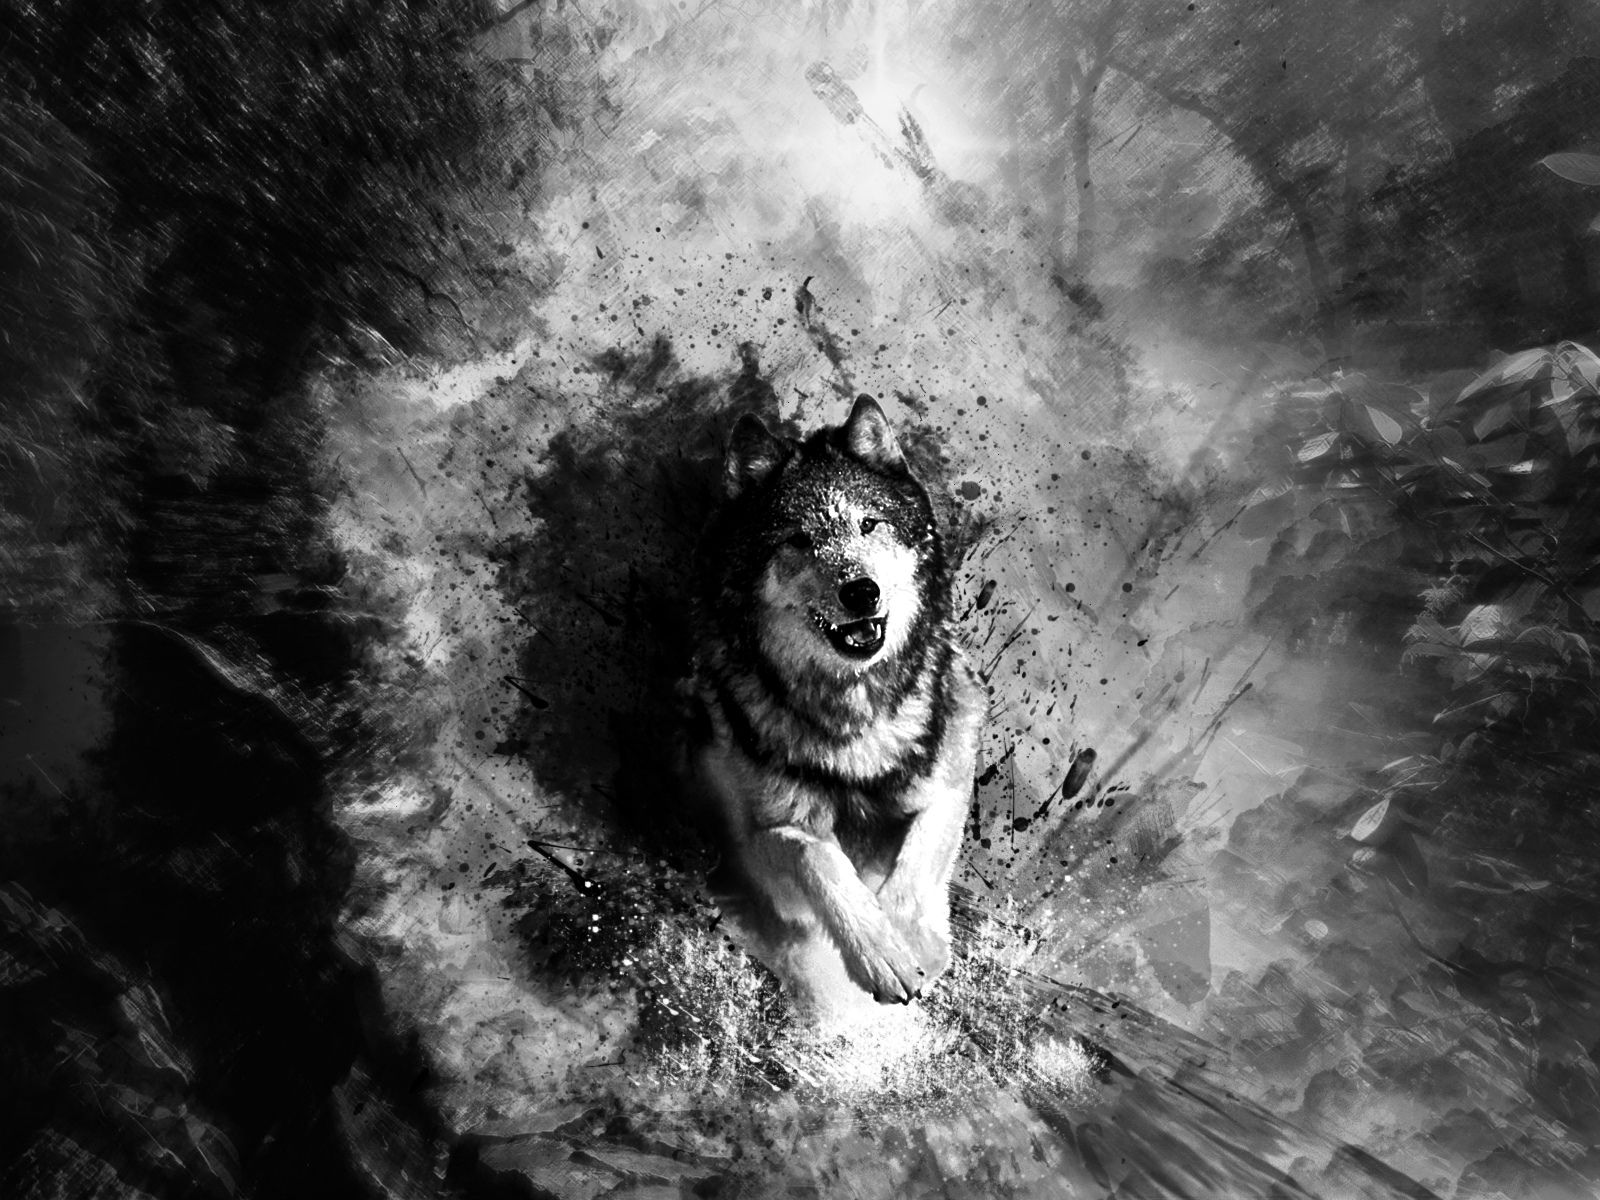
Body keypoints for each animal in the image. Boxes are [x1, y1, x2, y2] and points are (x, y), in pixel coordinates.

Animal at [689, 395, 983, 1010]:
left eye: (868, 524)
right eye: (798, 540)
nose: (861, 591)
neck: (855, 710)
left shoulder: (954, 767)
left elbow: (918, 855)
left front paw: (913, 942)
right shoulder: (757, 838)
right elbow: (818, 859)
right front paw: (880, 952)